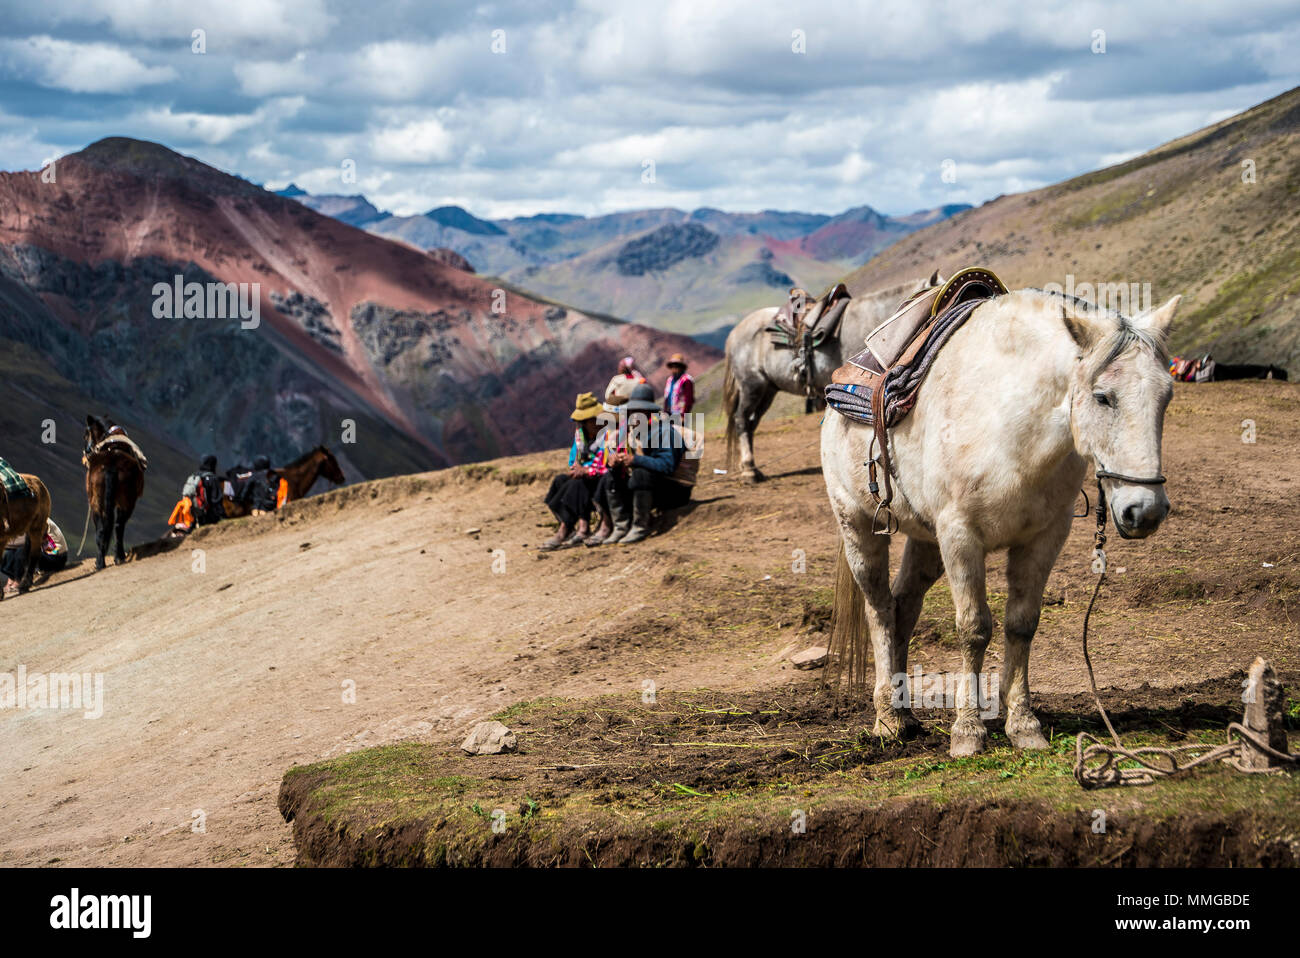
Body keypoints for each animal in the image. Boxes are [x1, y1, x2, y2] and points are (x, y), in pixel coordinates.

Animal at [83, 413, 147, 566]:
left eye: (86, 434)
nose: (87, 450)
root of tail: (110, 466)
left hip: (97, 503)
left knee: (101, 529)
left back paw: (100, 562)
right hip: (127, 502)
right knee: (119, 526)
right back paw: (119, 556)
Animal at [821, 283, 1180, 753]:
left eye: (1166, 396)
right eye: (1104, 396)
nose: (1146, 510)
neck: (1010, 423)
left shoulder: (1044, 537)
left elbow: (1022, 624)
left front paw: (1023, 724)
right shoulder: (960, 536)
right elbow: (974, 628)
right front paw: (967, 732)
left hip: (926, 541)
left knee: (904, 605)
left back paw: (905, 711)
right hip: (859, 526)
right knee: (879, 608)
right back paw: (887, 719)